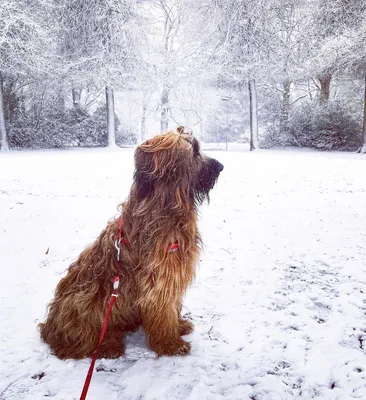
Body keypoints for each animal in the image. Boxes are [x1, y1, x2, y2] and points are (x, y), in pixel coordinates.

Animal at [39, 128, 223, 360]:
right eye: (195, 151)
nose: (221, 166)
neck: (165, 206)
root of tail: (49, 329)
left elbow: (172, 307)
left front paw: (179, 326)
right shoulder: (160, 279)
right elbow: (164, 310)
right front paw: (170, 344)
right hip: (81, 301)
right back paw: (108, 345)